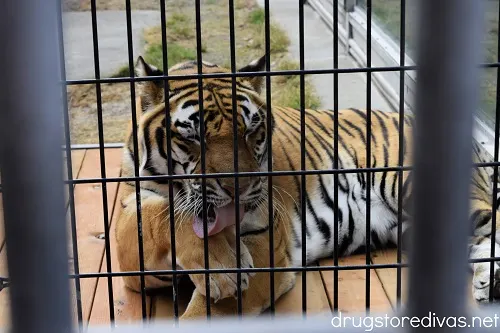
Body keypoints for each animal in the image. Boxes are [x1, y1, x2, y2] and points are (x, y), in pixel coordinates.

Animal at [115, 54, 500, 316]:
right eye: (193, 137)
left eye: (251, 131)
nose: (239, 188)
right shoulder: (132, 249)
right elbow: (162, 215)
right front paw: (220, 262)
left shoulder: (264, 247)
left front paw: (223, 269)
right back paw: (490, 280)